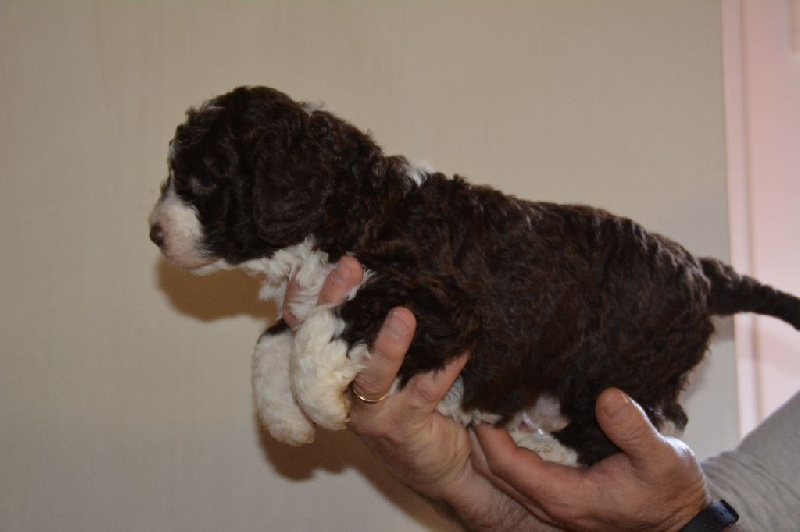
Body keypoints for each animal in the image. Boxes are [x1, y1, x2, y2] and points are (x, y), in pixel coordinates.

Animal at [149, 86, 800, 466]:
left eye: (203, 177)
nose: (155, 232)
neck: (359, 208)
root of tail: (701, 270)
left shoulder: (444, 302)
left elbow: (318, 332)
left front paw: (321, 406)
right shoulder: (314, 294)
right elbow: (273, 341)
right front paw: (284, 418)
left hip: (618, 364)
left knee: (629, 422)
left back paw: (548, 447)